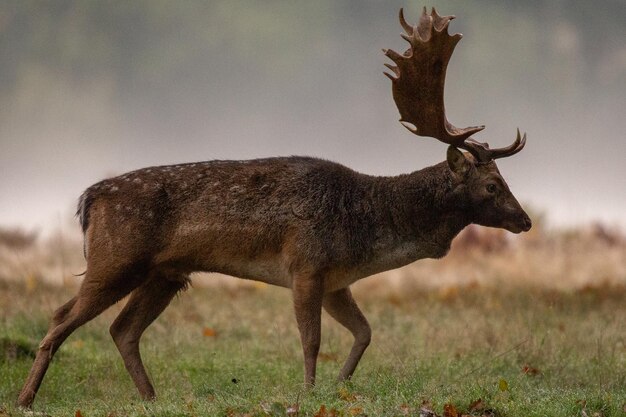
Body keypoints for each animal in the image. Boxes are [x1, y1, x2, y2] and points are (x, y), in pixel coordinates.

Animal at [17, 5, 528, 406]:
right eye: (490, 186)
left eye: (504, 180)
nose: (524, 220)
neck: (368, 232)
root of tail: (89, 198)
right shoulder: (306, 264)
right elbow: (311, 340)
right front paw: (309, 391)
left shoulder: (337, 280)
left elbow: (364, 332)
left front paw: (340, 386)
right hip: (115, 258)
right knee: (62, 317)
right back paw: (26, 398)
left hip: (165, 273)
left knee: (122, 329)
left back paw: (150, 398)